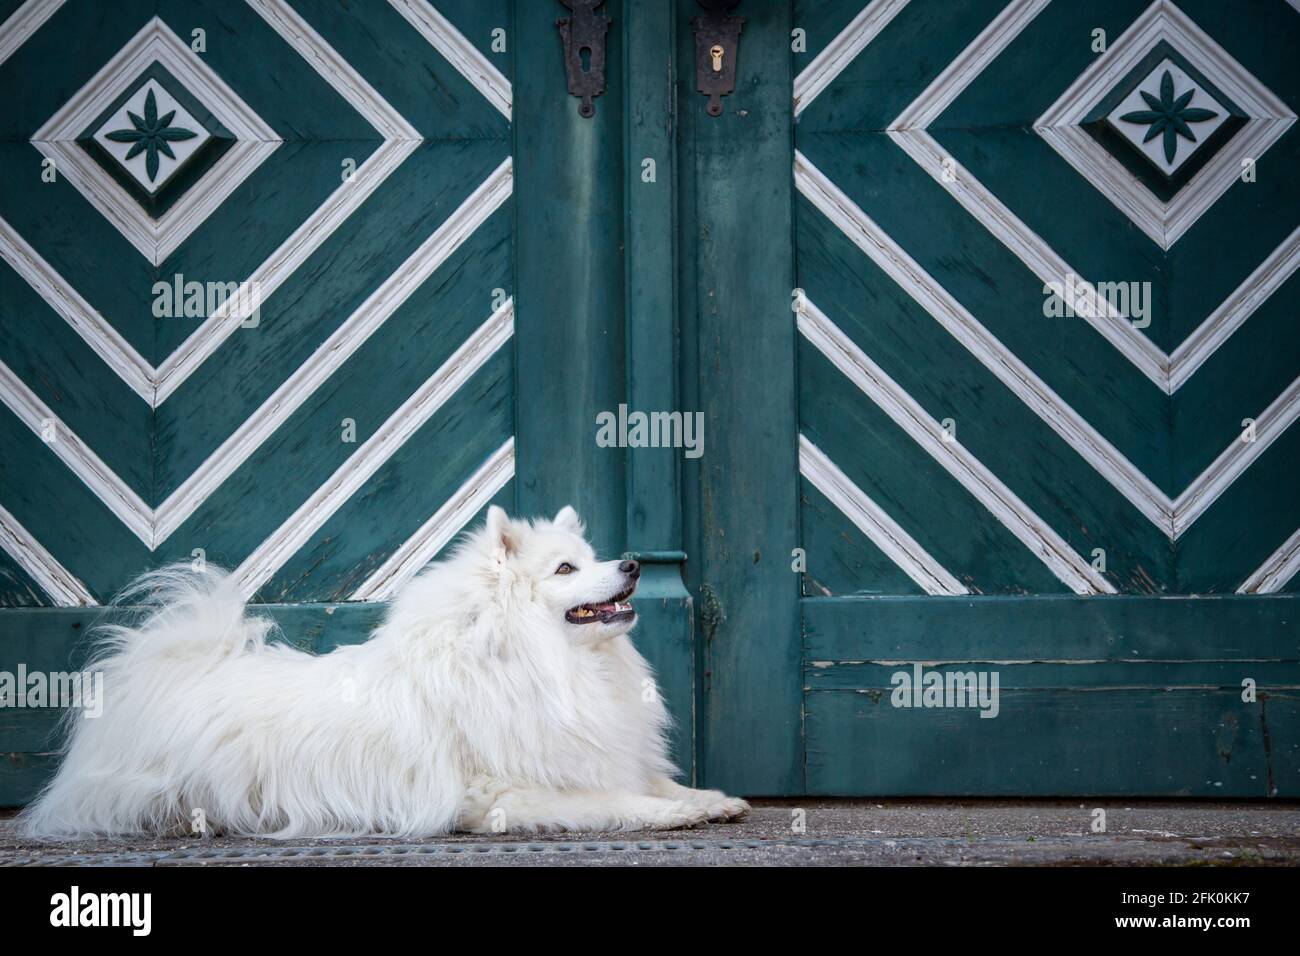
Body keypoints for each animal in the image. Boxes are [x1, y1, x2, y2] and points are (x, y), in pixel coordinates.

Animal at [20, 509, 748, 837]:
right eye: (566, 569)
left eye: (593, 557)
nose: (632, 563)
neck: (537, 659)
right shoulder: (503, 792)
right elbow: (619, 801)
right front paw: (670, 814)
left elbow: (652, 780)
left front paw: (711, 799)